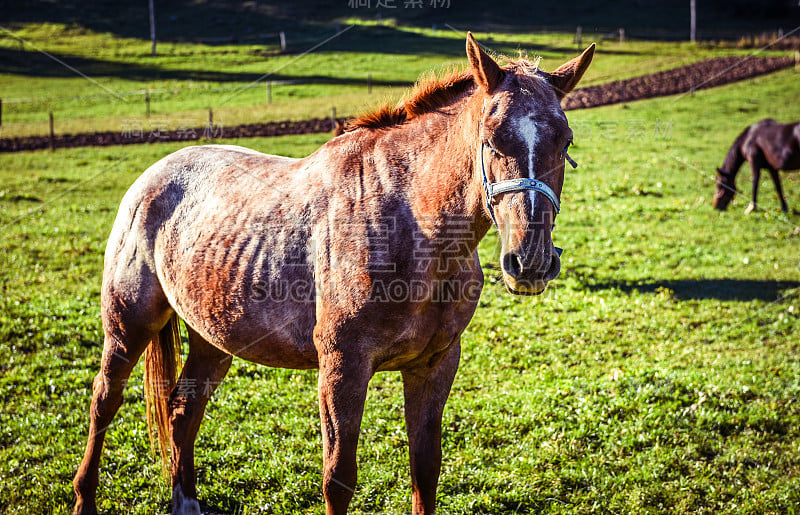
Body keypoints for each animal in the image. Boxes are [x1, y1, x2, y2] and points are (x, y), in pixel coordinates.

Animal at [72, 35, 592, 515]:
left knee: (183, 411)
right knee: (104, 402)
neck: (409, 226)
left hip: (213, 336)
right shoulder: (343, 367)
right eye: (491, 137)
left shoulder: (435, 363)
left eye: (565, 142)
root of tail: (152, 175)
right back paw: (84, 497)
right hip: (129, 325)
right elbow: (338, 477)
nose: (530, 260)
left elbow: (425, 467)